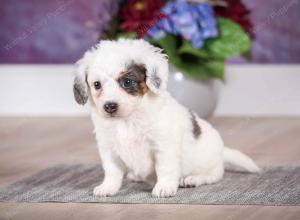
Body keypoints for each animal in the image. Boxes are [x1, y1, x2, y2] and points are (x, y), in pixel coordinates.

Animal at [73, 38, 260, 198]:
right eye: (97, 85)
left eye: (127, 82)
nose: (109, 106)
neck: (128, 120)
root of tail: (222, 152)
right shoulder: (108, 149)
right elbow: (112, 171)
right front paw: (108, 187)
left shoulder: (163, 147)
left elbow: (165, 169)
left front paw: (164, 187)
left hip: (209, 163)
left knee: (213, 175)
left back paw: (192, 179)